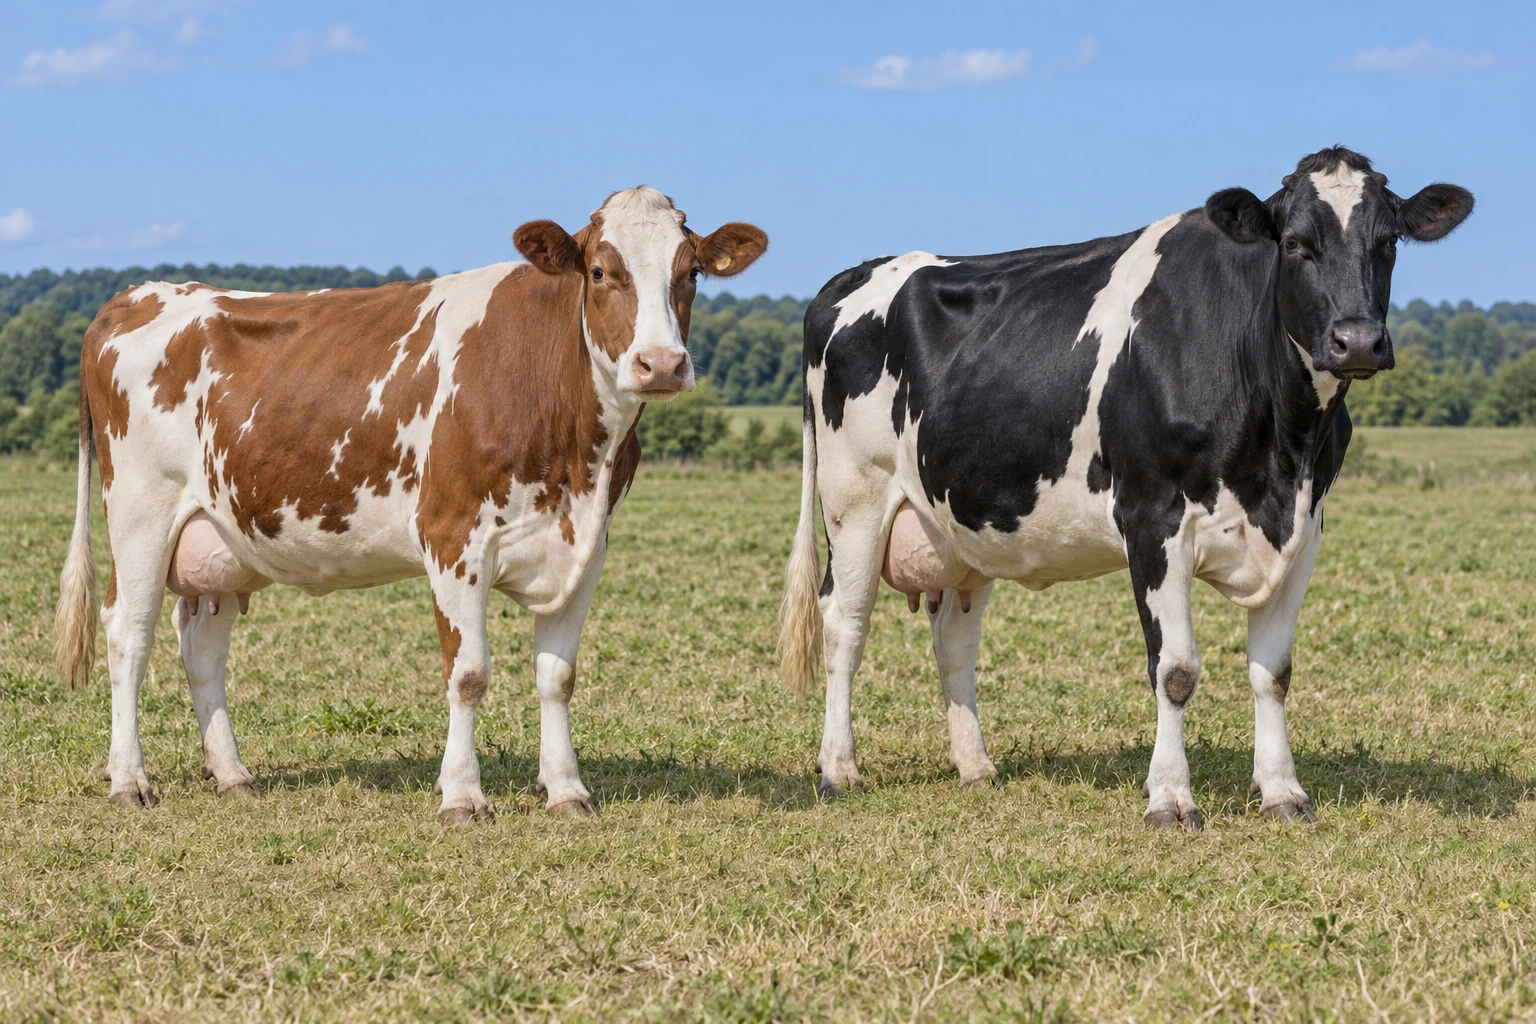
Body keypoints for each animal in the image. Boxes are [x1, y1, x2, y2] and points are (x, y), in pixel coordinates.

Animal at [54, 187, 767, 822]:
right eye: (599, 271)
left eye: (691, 272)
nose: (661, 363)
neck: (575, 458)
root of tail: (137, 294)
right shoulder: (454, 538)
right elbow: (468, 674)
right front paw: (462, 796)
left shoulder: (585, 549)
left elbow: (557, 677)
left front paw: (567, 790)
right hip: (140, 515)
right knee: (128, 633)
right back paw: (129, 781)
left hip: (222, 537)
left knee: (201, 645)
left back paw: (232, 774)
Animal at [779, 147, 1471, 830]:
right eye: (1297, 243)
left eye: (1388, 241)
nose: (1357, 341)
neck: (1281, 450)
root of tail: (851, 278)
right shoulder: (1153, 520)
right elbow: (1176, 670)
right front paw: (1170, 798)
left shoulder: (1304, 530)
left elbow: (1273, 672)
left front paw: (1282, 792)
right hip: (855, 502)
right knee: (844, 624)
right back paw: (840, 769)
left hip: (961, 523)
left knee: (954, 636)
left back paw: (975, 766)